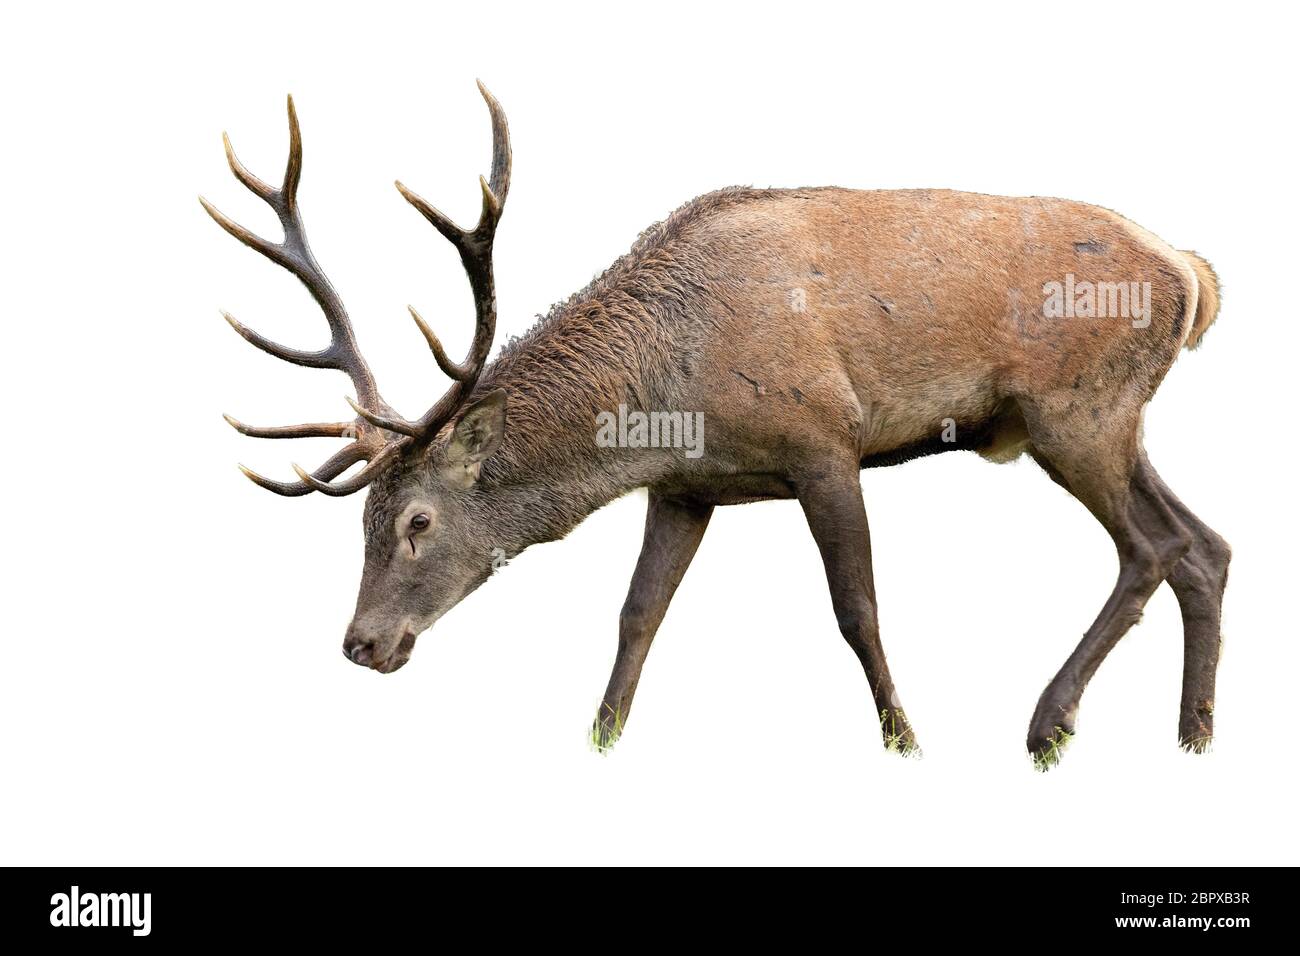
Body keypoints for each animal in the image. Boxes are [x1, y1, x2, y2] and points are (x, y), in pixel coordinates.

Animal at [202, 83, 1227, 770]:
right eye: (362, 523)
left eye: (418, 521)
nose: (360, 644)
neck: (672, 397)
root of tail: (1190, 270)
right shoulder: (685, 489)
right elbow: (636, 616)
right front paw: (601, 740)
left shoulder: (824, 444)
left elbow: (856, 608)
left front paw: (904, 740)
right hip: (1114, 421)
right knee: (1204, 544)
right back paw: (1193, 735)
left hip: (1075, 412)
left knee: (1151, 549)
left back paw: (1049, 724)